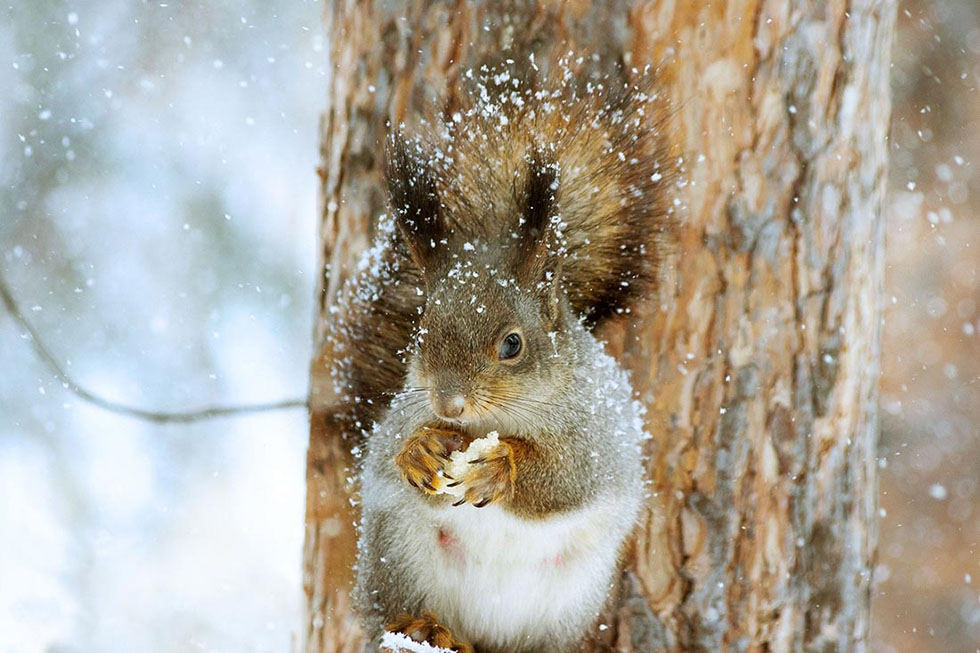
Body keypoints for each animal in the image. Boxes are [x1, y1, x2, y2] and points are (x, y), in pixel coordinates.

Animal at [348, 66, 676, 652]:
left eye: (513, 344)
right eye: (421, 333)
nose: (448, 405)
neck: (495, 420)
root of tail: (486, 633)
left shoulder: (599, 437)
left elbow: (567, 479)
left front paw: (503, 466)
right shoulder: (398, 417)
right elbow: (388, 452)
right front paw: (420, 451)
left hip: (569, 600)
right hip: (396, 553)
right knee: (389, 612)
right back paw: (425, 626)